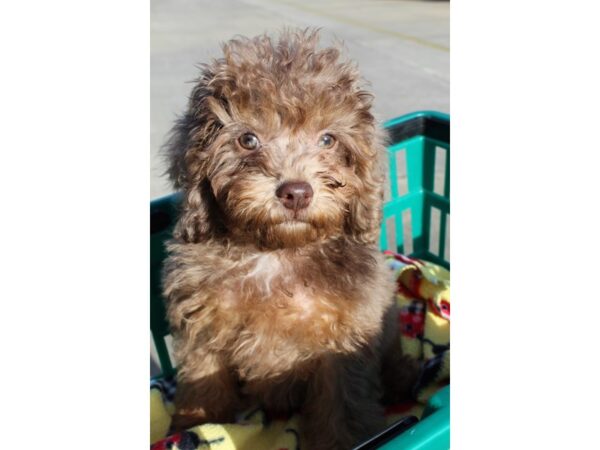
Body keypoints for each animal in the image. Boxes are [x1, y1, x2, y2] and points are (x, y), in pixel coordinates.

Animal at [162, 29, 420, 450]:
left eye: (328, 139)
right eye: (248, 139)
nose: (296, 192)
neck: (278, 253)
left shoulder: (344, 343)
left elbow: (340, 407)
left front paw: (338, 440)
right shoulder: (203, 324)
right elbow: (205, 384)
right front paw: (194, 425)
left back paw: (405, 378)